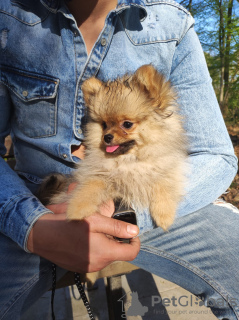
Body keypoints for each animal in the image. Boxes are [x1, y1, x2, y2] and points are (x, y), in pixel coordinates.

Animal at [38, 64, 187, 230]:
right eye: (104, 125)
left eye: (127, 124)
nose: (107, 137)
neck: (129, 160)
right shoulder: (100, 175)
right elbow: (90, 187)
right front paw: (76, 209)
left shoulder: (167, 168)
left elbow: (163, 184)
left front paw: (164, 214)